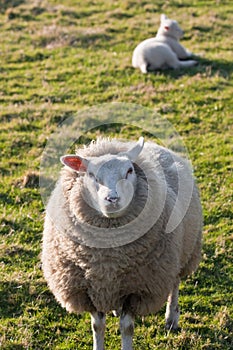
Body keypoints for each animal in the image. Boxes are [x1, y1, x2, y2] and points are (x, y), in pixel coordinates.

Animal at [41, 137, 202, 350]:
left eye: (129, 171)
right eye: (91, 174)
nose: (112, 199)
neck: (109, 259)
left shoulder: (137, 289)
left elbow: (127, 328)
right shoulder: (90, 289)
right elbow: (97, 326)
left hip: (181, 254)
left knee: (175, 283)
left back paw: (171, 318)